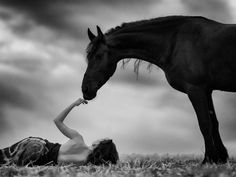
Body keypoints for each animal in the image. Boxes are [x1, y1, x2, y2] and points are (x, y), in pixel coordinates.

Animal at [81, 15, 236, 164]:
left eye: (98, 56)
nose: (85, 89)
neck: (175, 43)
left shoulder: (196, 89)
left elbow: (204, 124)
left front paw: (208, 159)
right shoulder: (206, 90)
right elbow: (214, 123)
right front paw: (220, 158)